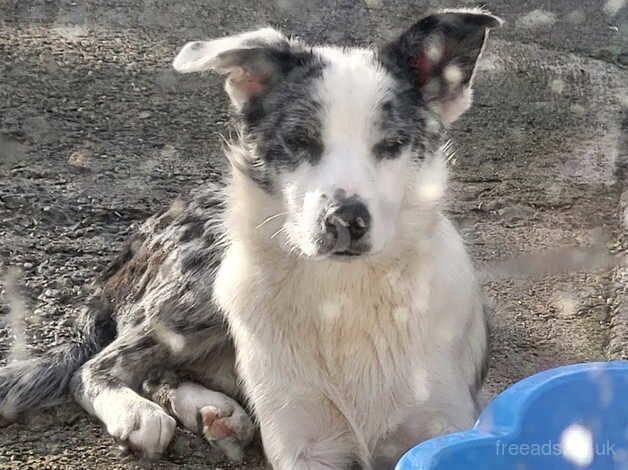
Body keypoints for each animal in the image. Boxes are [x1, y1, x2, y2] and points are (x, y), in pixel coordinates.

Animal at [0, 8, 500, 470]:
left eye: (393, 144)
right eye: (299, 139)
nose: (345, 221)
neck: (342, 296)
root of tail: (126, 251)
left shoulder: (441, 425)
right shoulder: (304, 443)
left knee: (155, 371)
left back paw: (210, 409)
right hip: (201, 284)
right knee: (96, 366)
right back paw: (138, 413)